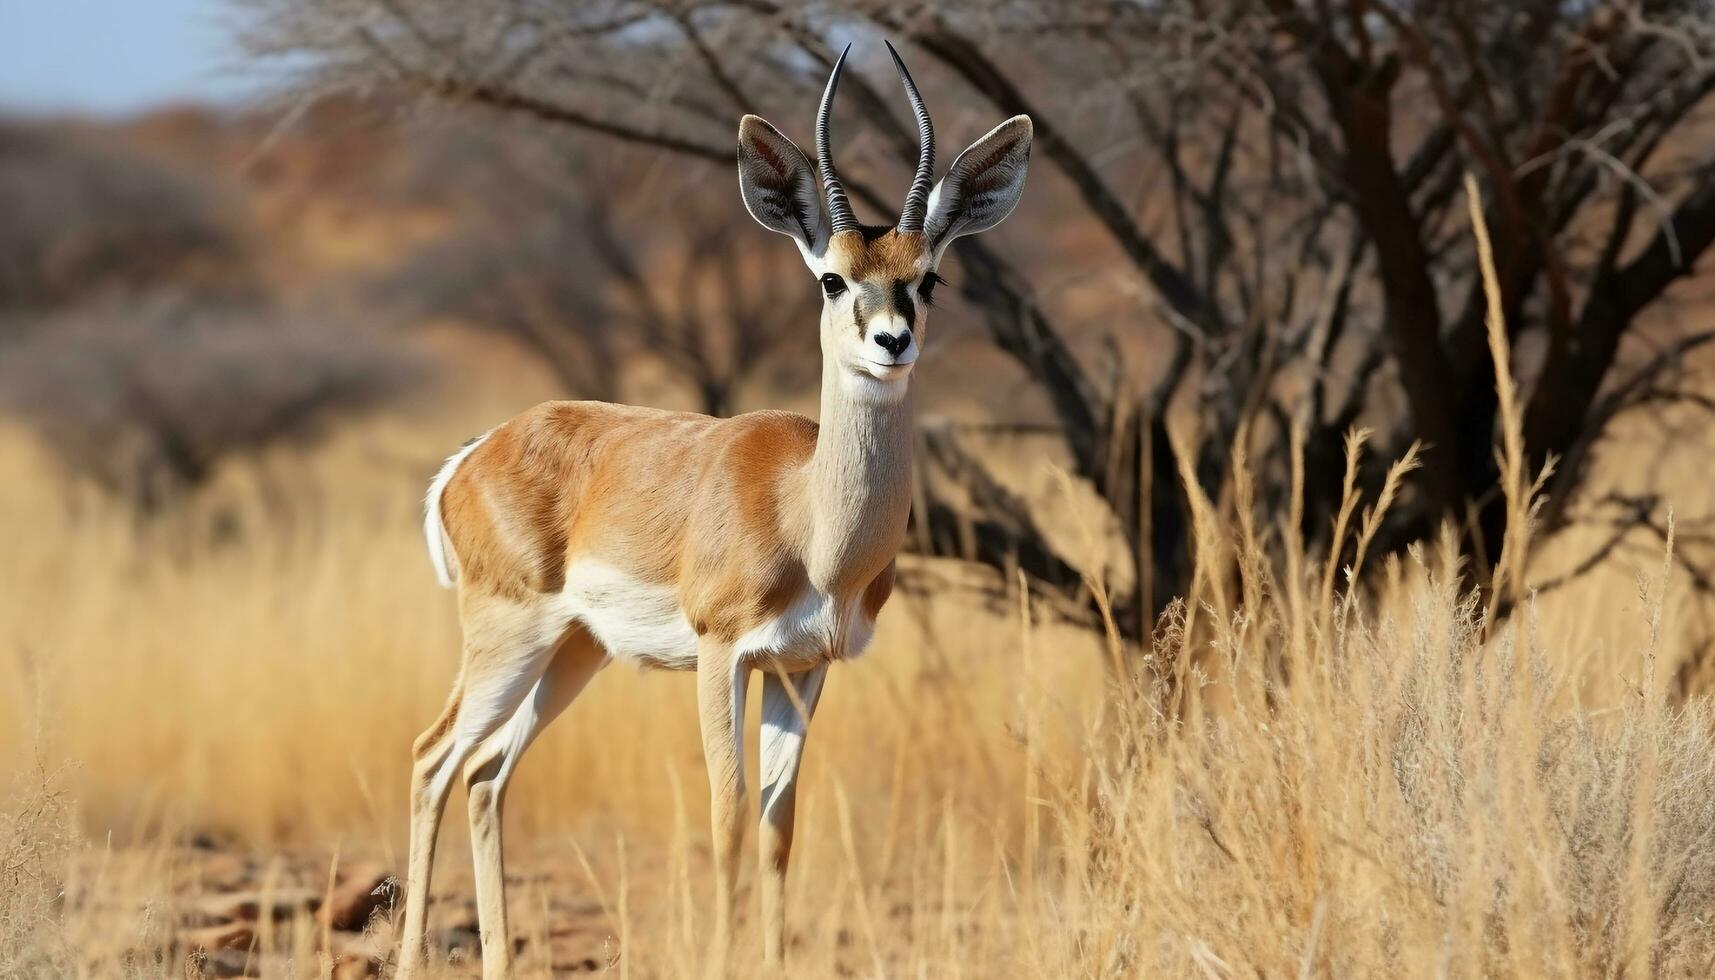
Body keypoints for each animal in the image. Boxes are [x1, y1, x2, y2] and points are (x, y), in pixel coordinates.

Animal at [397, 42, 1029, 974]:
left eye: (928, 278)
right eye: (833, 278)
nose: (892, 342)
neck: (810, 523)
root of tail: (472, 455)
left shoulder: (802, 669)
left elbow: (776, 825)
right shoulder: (720, 654)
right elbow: (727, 814)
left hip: (573, 654)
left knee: (482, 778)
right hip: (508, 641)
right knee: (431, 759)